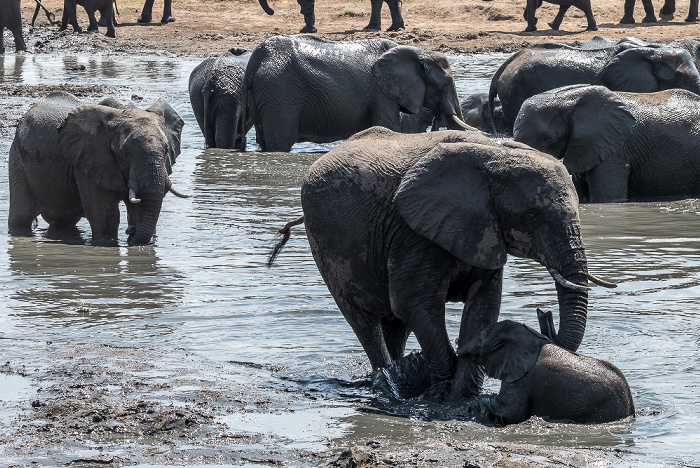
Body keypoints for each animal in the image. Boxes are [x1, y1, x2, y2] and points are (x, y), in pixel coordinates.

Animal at [8, 90, 187, 245]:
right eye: (124, 152)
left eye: (166, 150)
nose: (130, 230)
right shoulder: (87, 161)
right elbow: (106, 217)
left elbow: (137, 210)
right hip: (17, 159)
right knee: (21, 216)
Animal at [270, 127, 616, 398]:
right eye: (531, 216)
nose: (543, 315)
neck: (496, 156)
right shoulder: (413, 231)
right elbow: (414, 302)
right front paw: (436, 389)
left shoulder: (481, 230)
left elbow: (483, 306)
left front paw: (459, 395)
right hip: (327, 242)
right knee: (363, 320)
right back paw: (388, 385)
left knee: (395, 325)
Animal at [460, 316, 636, 426]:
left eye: (481, 338)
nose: (460, 352)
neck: (533, 338)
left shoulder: (522, 380)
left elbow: (511, 413)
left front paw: (478, 404)